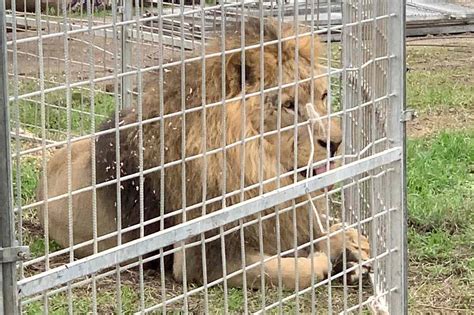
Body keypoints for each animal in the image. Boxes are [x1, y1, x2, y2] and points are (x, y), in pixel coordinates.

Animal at [37, 20, 370, 292]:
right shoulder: (203, 260)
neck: (258, 168)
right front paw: (329, 261)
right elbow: (290, 269)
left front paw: (352, 249)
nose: (335, 143)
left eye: (323, 96)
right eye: (288, 105)